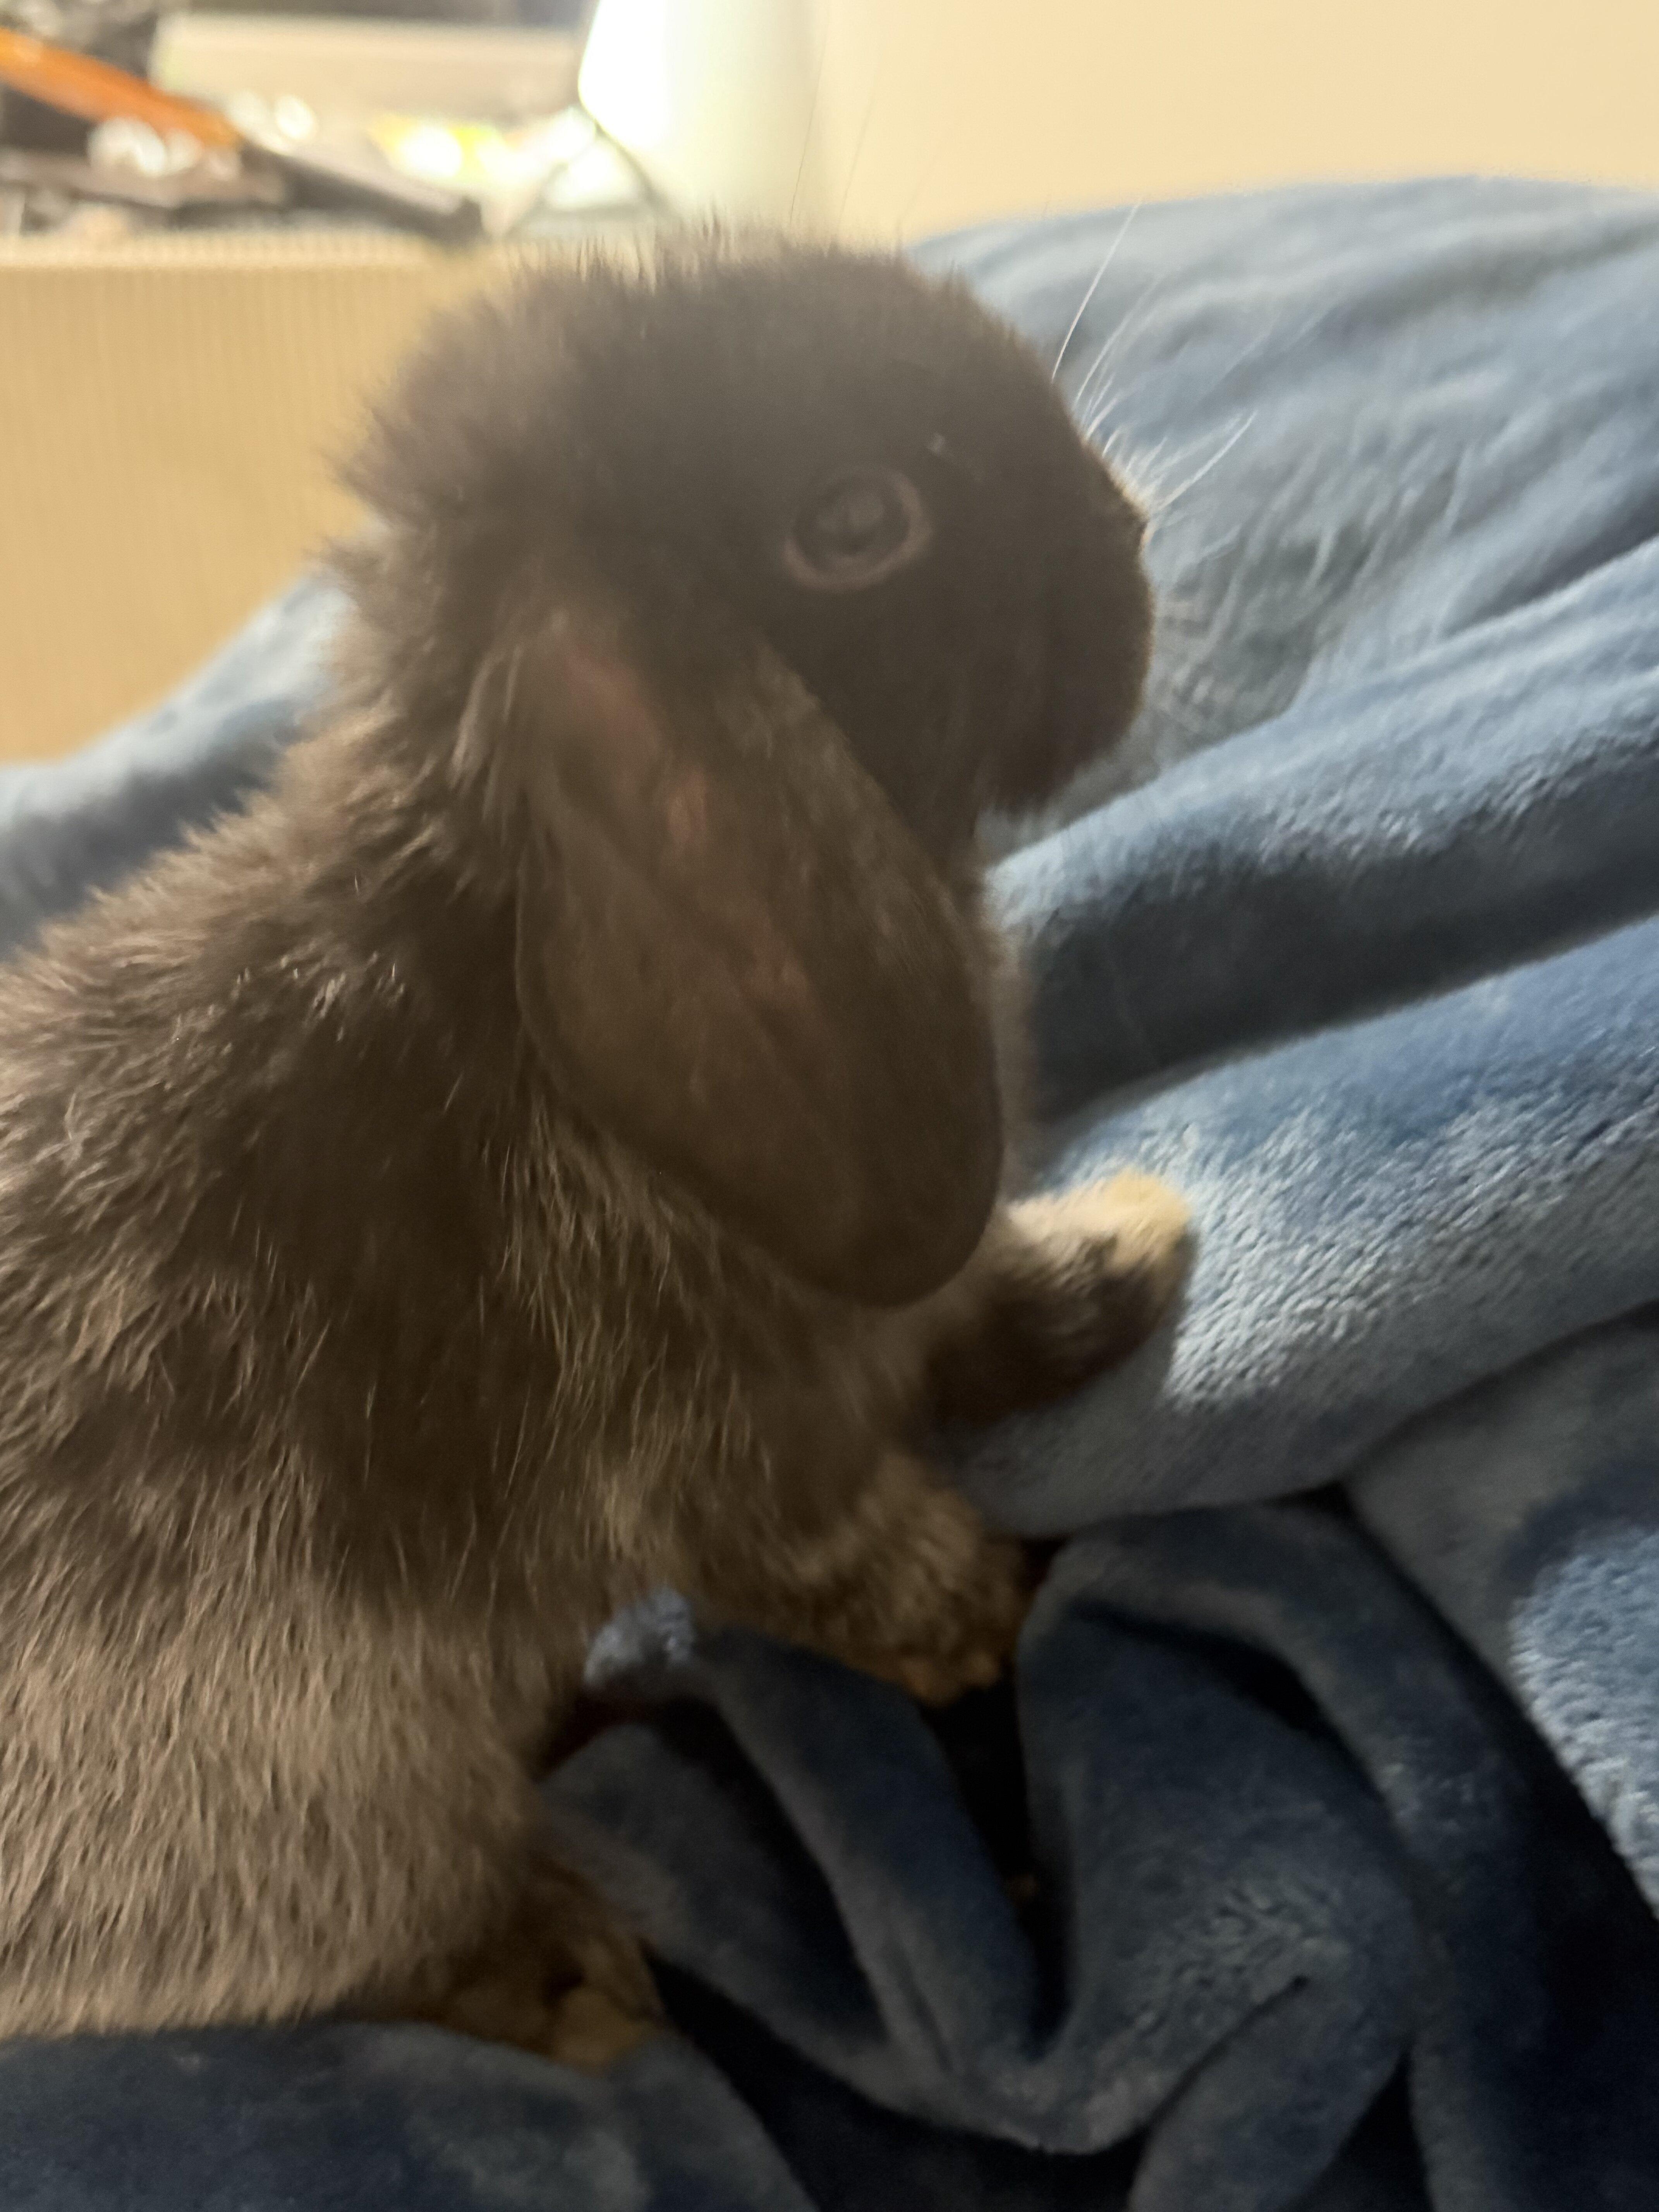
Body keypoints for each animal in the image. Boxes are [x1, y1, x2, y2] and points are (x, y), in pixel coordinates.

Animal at [0, 234, 1187, 2071]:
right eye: (855, 522)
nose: (1127, 536)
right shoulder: (717, 1461)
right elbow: (846, 1562)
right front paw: (991, 1608)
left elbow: (980, 1300)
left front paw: (1129, 1249)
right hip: (313, 1814)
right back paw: (566, 1983)